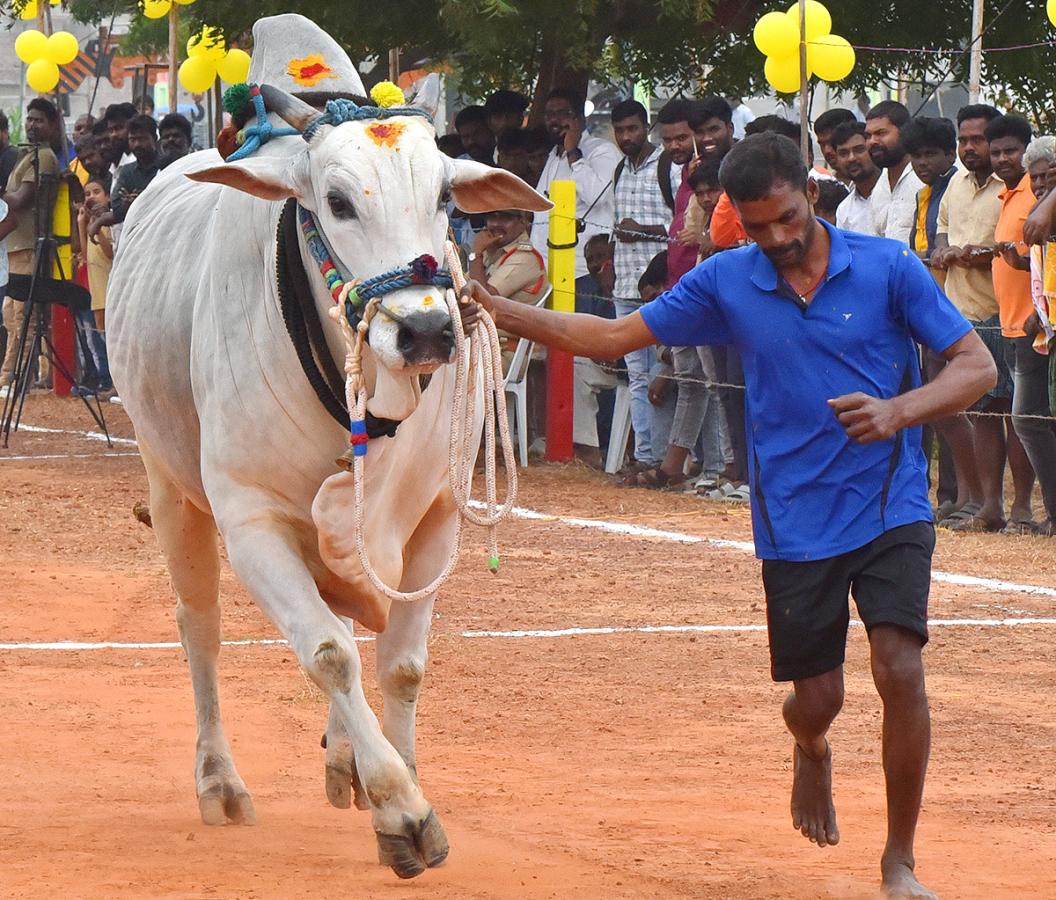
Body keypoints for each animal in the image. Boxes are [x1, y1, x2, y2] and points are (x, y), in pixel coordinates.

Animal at [106, 82, 549, 878]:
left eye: (445, 195)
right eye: (337, 202)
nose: (429, 332)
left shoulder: (434, 520)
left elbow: (402, 665)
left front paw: (401, 781)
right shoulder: (252, 523)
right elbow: (329, 655)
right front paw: (401, 811)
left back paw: (344, 761)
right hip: (170, 485)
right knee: (201, 629)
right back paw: (220, 781)